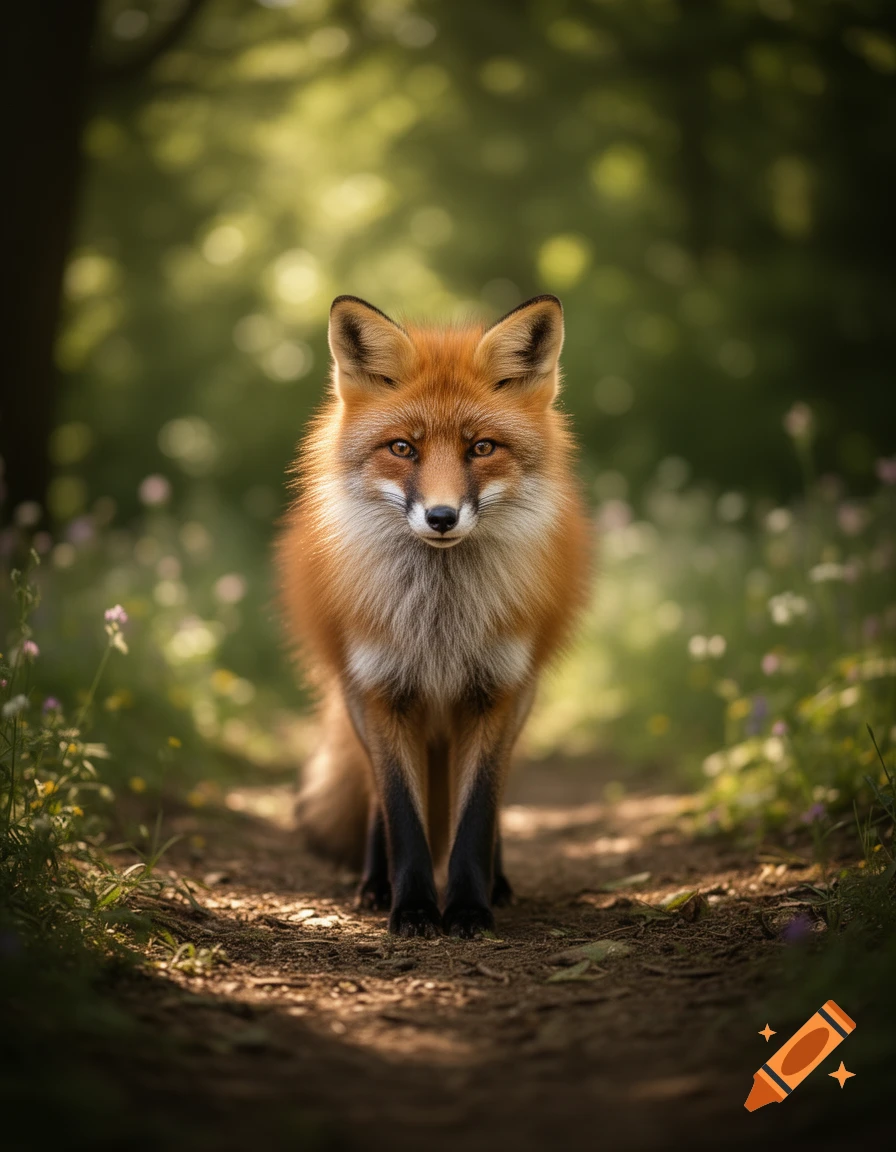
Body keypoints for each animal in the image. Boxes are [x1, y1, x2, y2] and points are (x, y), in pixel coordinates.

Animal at [275, 293, 590, 938]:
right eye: (403, 448)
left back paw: (497, 883)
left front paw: (469, 908)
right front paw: (414, 907)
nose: (442, 517)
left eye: (481, 447)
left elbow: (476, 817)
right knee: (376, 802)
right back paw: (375, 884)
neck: (440, 624)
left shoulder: (495, 691)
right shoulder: (381, 691)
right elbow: (401, 813)